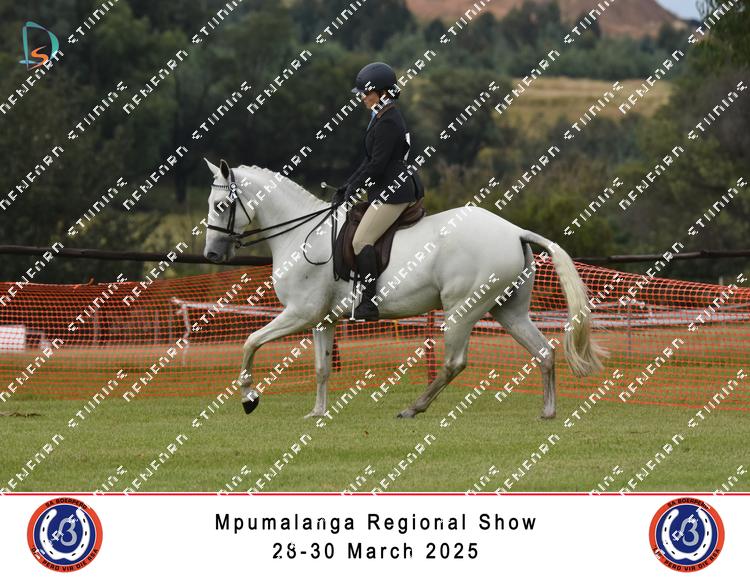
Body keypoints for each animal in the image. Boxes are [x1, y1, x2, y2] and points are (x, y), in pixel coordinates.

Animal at [202, 159, 607, 419]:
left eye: (221, 205)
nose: (211, 254)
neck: (303, 234)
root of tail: (515, 232)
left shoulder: (299, 314)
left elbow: (250, 342)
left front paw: (249, 397)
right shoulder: (321, 320)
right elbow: (322, 368)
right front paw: (317, 413)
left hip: (462, 308)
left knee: (454, 362)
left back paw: (413, 408)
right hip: (508, 310)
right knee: (543, 352)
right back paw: (548, 411)